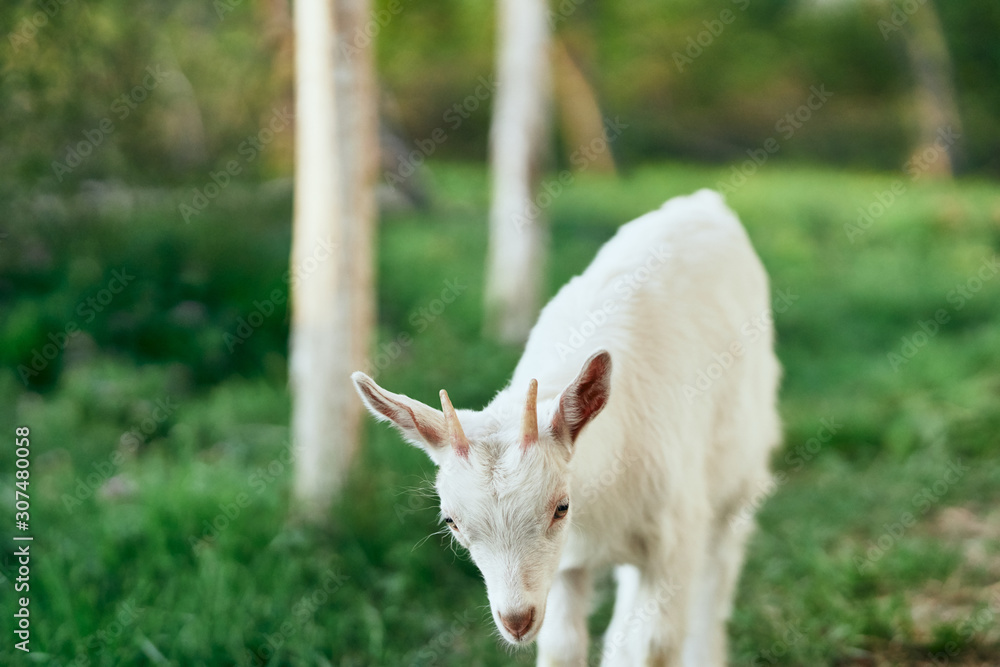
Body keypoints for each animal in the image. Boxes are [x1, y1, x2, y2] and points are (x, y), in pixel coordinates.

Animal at [352, 189, 782, 666]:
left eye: (561, 506)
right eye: (451, 521)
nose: (516, 620)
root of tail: (705, 200)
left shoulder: (676, 540)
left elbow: (657, 646)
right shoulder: (567, 561)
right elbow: (562, 646)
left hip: (737, 472)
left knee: (721, 565)